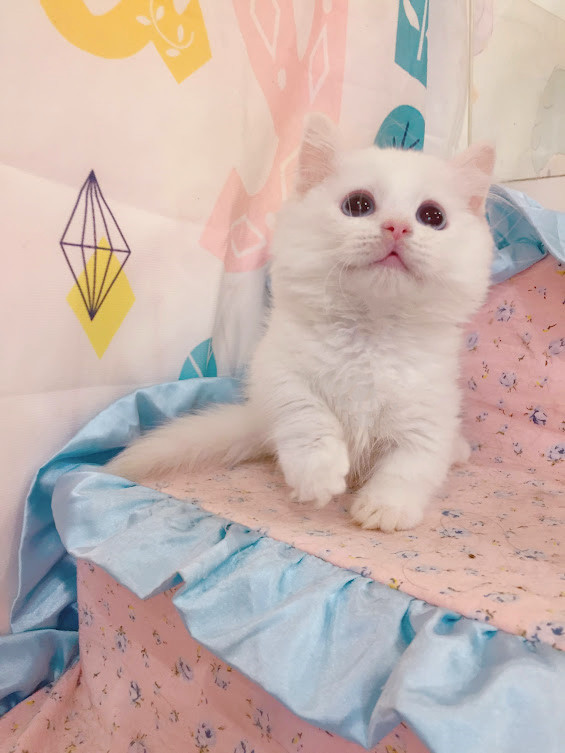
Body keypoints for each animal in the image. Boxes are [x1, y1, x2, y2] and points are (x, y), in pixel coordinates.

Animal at [107, 113, 495, 532]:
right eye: (359, 205)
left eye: (432, 216)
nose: (397, 226)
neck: (371, 333)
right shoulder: (281, 375)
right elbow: (309, 421)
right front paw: (319, 476)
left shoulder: (428, 411)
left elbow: (411, 464)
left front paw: (385, 508)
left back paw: (458, 450)